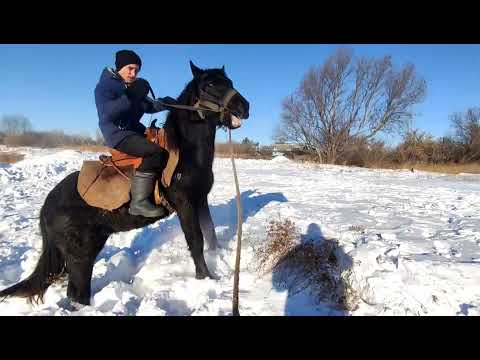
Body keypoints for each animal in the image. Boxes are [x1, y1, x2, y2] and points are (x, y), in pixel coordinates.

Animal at [0, 62, 251, 306]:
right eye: (209, 85)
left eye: (229, 82)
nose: (244, 107)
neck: (185, 152)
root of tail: (46, 206)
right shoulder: (185, 204)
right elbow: (196, 239)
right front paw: (206, 277)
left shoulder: (200, 199)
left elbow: (210, 233)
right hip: (80, 256)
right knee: (77, 294)